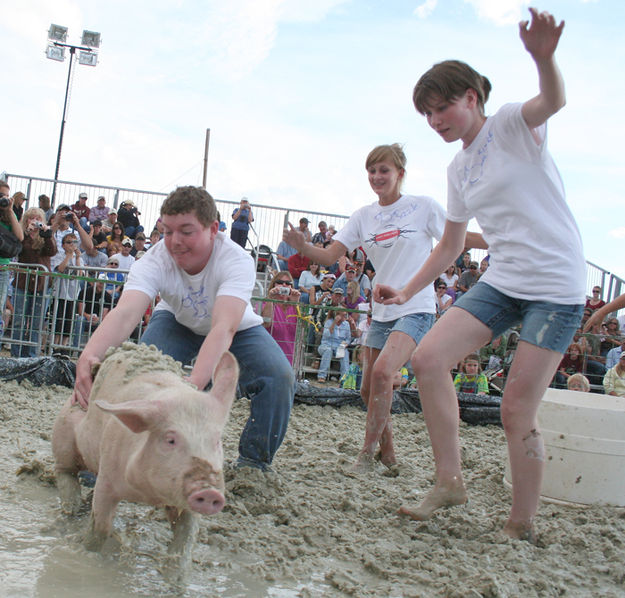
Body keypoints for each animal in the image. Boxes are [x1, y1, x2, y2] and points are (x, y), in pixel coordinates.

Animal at [52, 342, 238, 572]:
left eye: (217, 441)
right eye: (170, 439)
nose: (210, 492)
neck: (147, 494)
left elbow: (186, 537)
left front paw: (176, 576)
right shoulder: (107, 477)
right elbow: (101, 526)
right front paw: (86, 555)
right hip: (63, 432)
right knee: (65, 472)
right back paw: (71, 508)